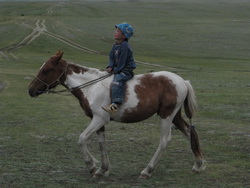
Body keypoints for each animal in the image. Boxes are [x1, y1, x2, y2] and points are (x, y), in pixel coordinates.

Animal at [28, 51, 206, 178]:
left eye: (45, 70)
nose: (30, 90)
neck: (91, 87)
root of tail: (182, 81)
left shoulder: (99, 119)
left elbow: (82, 139)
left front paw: (91, 165)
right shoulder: (98, 121)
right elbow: (102, 144)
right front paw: (102, 169)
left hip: (167, 115)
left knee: (165, 140)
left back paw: (147, 170)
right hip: (175, 116)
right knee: (190, 132)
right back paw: (198, 165)